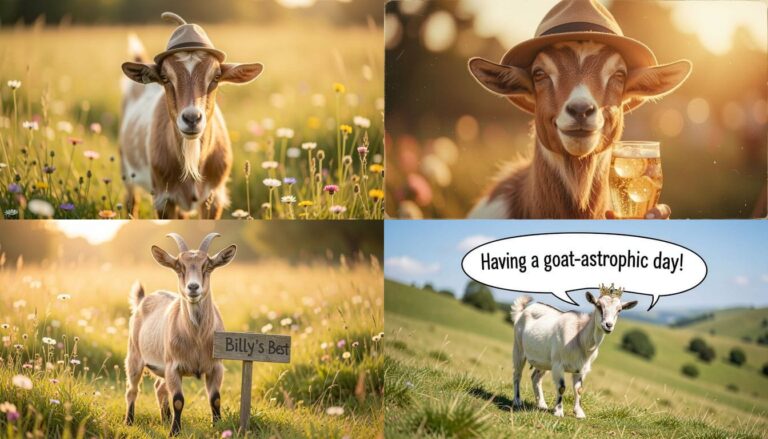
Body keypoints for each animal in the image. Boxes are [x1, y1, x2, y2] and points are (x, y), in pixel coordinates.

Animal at [120, 13, 263, 219]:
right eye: (165, 78)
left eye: (216, 77)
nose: (192, 118)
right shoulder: (163, 198)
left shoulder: (214, 197)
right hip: (126, 168)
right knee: (132, 201)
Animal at [125, 233, 237, 436]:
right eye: (179, 267)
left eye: (207, 266)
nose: (193, 287)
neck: (197, 338)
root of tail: (142, 300)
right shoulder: (173, 367)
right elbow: (178, 400)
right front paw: (174, 432)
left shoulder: (216, 366)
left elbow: (215, 398)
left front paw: (218, 426)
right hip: (134, 356)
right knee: (132, 389)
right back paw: (129, 421)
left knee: (159, 387)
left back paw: (165, 418)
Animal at [509, 285, 637, 418]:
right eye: (598, 305)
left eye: (619, 310)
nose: (608, 325)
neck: (579, 338)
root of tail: (522, 312)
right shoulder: (558, 364)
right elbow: (561, 387)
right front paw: (558, 411)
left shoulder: (581, 368)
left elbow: (578, 389)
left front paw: (579, 413)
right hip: (518, 348)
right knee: (517, 374)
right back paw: (517, 400)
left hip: (544, 361)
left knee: (536, 377)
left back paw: (542, 404)